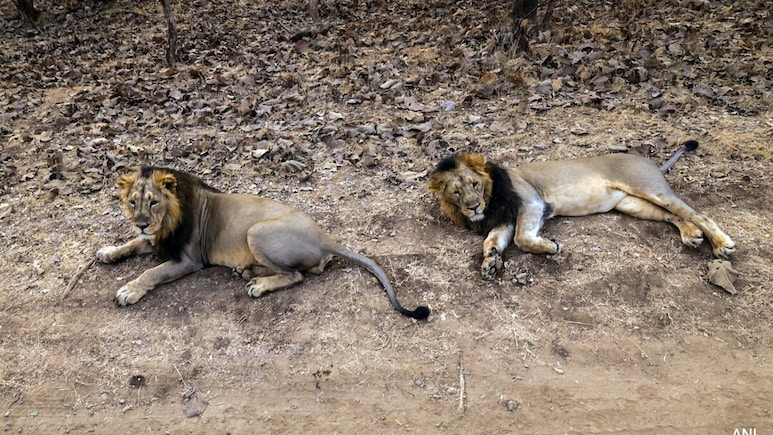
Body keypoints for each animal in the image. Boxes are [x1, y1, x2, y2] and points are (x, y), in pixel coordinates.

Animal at [96, 166, 430, 319]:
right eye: (133, 202)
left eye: (153, 202)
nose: (141, 222)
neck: (166, 221)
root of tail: (326, 237)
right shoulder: (155, 241)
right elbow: (129, 244)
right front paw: (108, 252)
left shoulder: (188, 259)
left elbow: (150, 272)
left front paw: (128, 291)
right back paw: (246, 272)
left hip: (256, 231)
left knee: (295, 275)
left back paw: (257, 284)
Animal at [428, 140, 736, 279]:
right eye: (456, 192)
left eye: (475, 184)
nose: (473, 207)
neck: (491, 200)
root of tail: (649, 161)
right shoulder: (506, 219)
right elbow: (492, 241)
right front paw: (490, 261)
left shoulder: (533, 203)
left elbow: (522, 238)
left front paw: (551, 246)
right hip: (632, 204)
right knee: (675, 216)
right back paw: (692, 236)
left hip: (648, 188)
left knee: (697, 213)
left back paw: (722, 244)